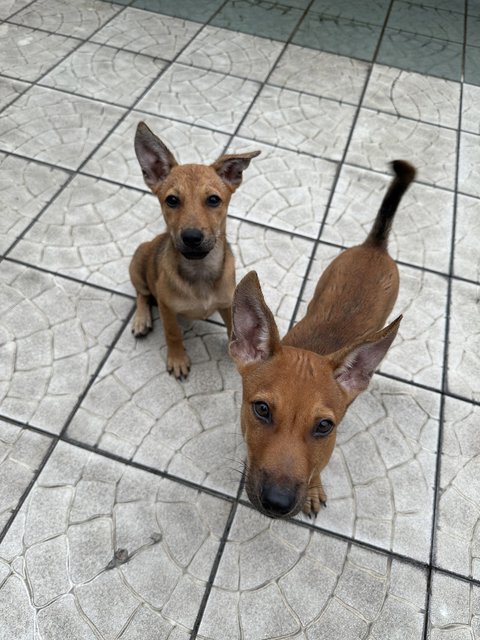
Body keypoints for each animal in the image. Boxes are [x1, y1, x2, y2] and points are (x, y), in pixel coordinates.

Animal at [129, 122, 260, 378]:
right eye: (171, 200)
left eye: (213, 200)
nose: (191, 237)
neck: (200, 271)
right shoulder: (167, 307)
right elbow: (172, 333)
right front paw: (177, 359)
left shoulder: (228, 303)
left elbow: (234, 327)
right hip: (137, 263)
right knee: (142, 293)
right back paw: (141, 319)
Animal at [227, 161, 414, 520]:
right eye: (261, 409)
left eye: (324, 427)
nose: (277, 504)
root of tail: (374, 246)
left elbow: (316, 468)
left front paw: (313, 489)